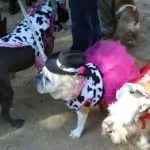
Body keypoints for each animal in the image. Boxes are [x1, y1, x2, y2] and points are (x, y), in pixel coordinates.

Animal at [0, 0, 68, 128]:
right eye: (64, 11)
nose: (68, 17)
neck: (42, 13)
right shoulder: (46, 51)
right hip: (7, 91)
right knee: (4, 113)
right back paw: (15, 122)